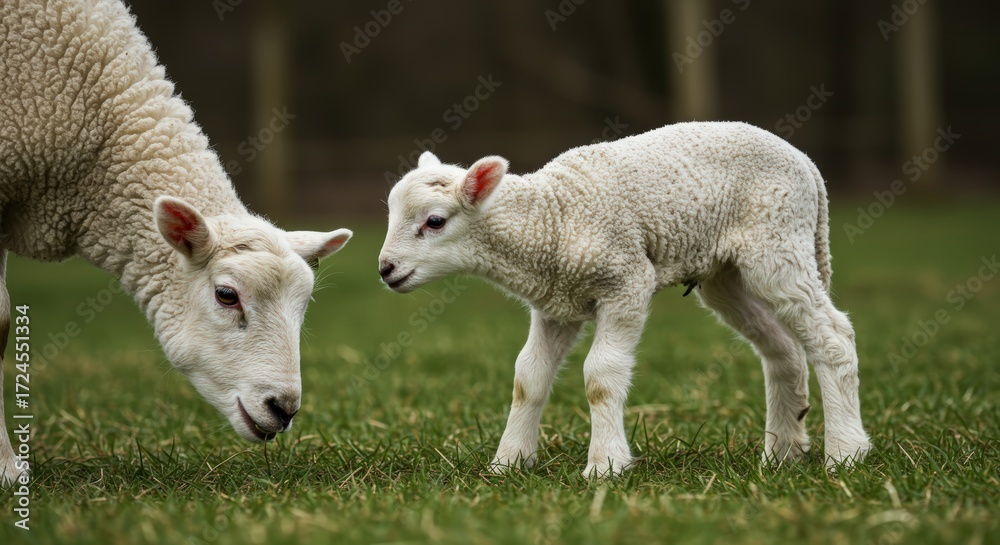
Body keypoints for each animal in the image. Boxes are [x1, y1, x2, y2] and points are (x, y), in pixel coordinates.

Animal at [378, 122, 872, 477]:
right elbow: (528, 378)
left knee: (833, 337)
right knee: (783, 348)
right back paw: (781, 454)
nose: (385, 269)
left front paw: (605, 466)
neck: (550, 219)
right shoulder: (555, 304)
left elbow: (600, 376)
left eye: (435, 221)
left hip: (777, 240)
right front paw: (508, 463)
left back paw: (845, 454)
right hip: (725, 273)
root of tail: (807, 164)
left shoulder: (626, 282)